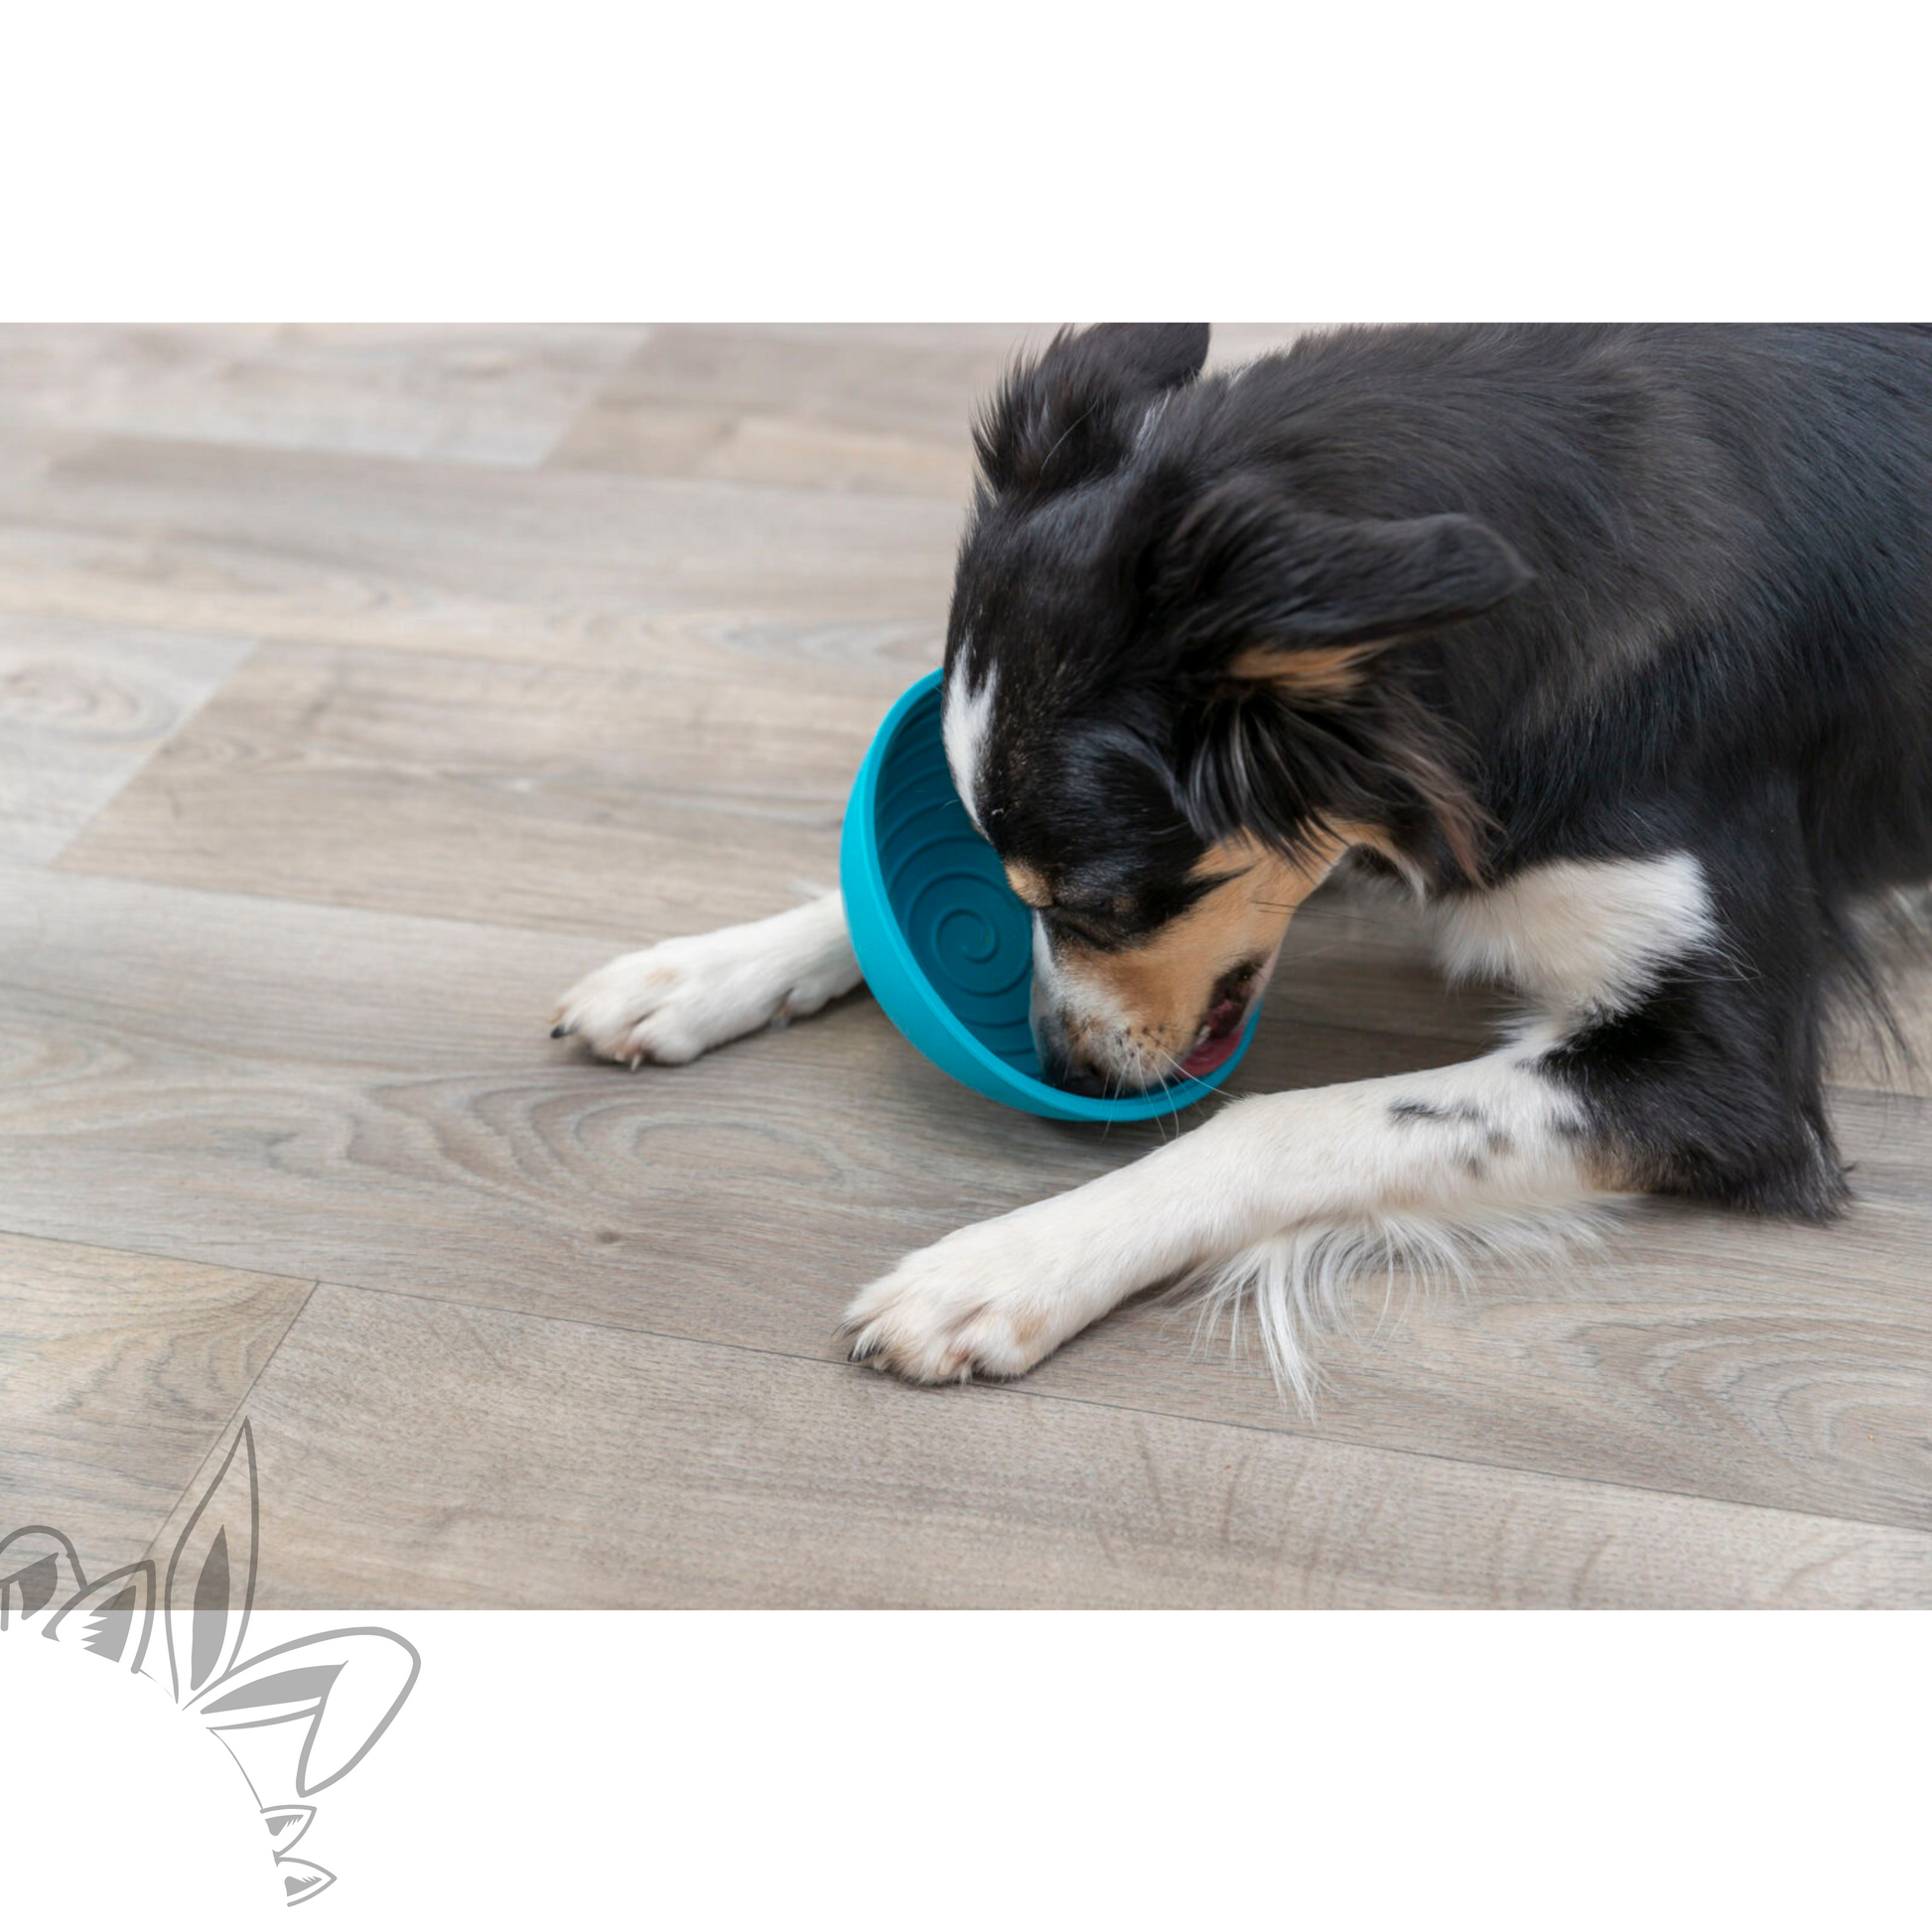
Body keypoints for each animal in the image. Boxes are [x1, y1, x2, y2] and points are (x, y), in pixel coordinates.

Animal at [552, 324, 1932, 1398]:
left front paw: (1004, 1263)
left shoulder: (1726, 1076)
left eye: (1108, 899)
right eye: (1013, 888)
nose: (1062, 1071)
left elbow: (1274, 1123)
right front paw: (693, 971)